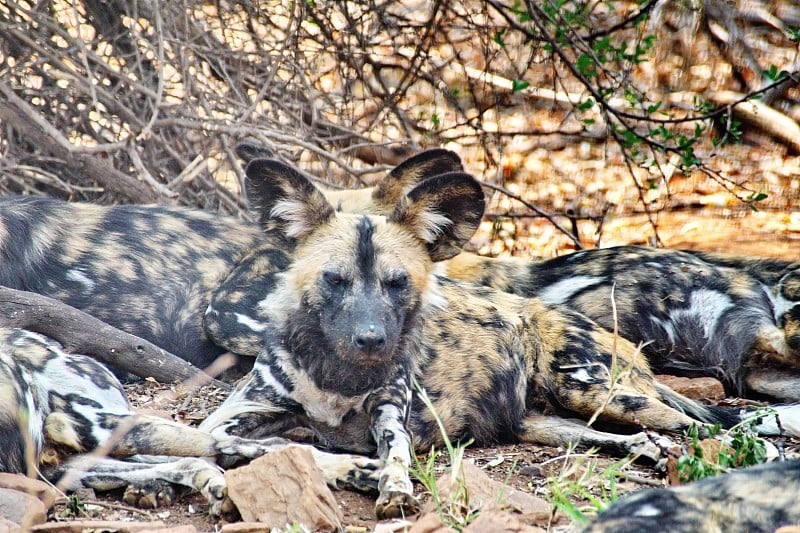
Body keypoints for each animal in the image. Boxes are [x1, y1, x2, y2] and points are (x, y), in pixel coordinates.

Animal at [195, 156, 800, 516]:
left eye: (397, 283)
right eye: (334, 280)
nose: (371, 340)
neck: (337, 376)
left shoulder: (391, 418)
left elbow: (390, 455)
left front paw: (389, 486)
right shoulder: (225, 421)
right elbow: (258, 443)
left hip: (595, 389)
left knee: (707, 427)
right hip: (553, 421)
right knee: (644, 438)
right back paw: (652, 454)